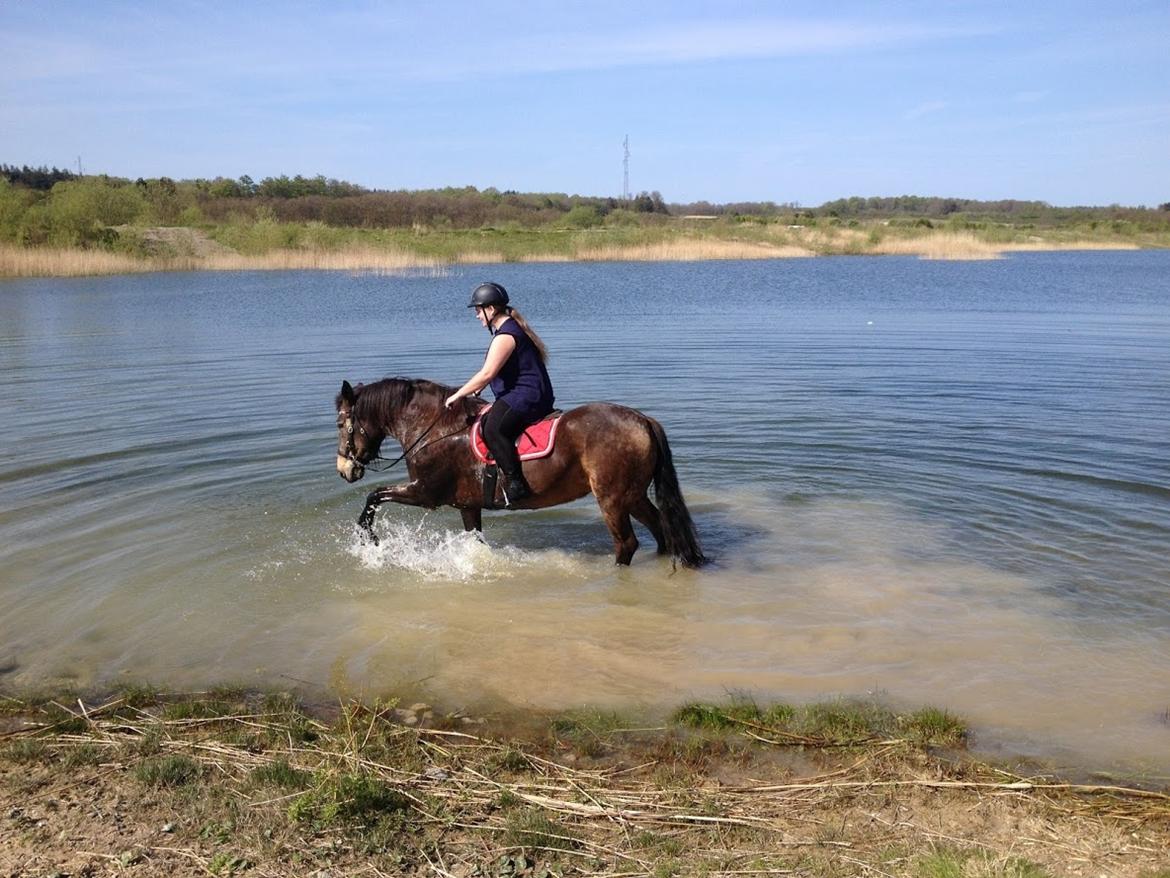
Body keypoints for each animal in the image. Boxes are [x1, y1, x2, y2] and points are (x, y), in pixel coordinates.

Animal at [334, 379, 706, 571]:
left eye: (340, 423)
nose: (345, 470)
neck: (435, 427)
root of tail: (643, 420)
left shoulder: (425, 493)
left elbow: (374, 496)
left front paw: (370, 541)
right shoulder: (467, 505)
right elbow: (476, 541)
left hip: (612, 498)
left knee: (627, 542)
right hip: (633, 494)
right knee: (660, 528)